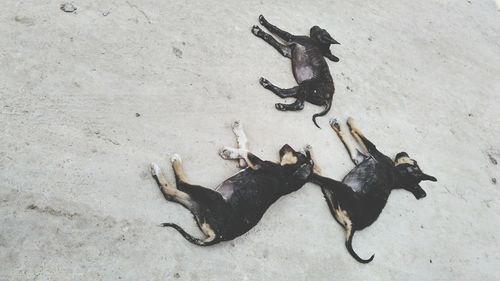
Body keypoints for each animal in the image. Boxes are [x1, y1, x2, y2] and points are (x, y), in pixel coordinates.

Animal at [148, 120, 318, 245]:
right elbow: (245, 146)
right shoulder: (246, 164)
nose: (285, 145)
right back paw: (158, 171)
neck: (290, 174)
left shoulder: (259, 164)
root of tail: (219, 236)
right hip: (197, 205)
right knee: (169, 194)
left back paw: (170, 163)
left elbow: (246, 151)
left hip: (209, 196)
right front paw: (237, 132)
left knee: (181, 184)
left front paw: (228, 151)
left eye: (298, 154)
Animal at [310, 117, 436, 262]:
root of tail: (353, 225)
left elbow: (362, 136)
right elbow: (349, 140)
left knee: (317, 178)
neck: (398, 175)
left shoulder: (373, 152)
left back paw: (306, 164)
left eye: (414, 162)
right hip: (333, 197)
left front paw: (350, 121)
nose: (403, 152)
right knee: (322, 181)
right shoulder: (358, 157)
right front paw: (338, 126)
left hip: (342, 188)